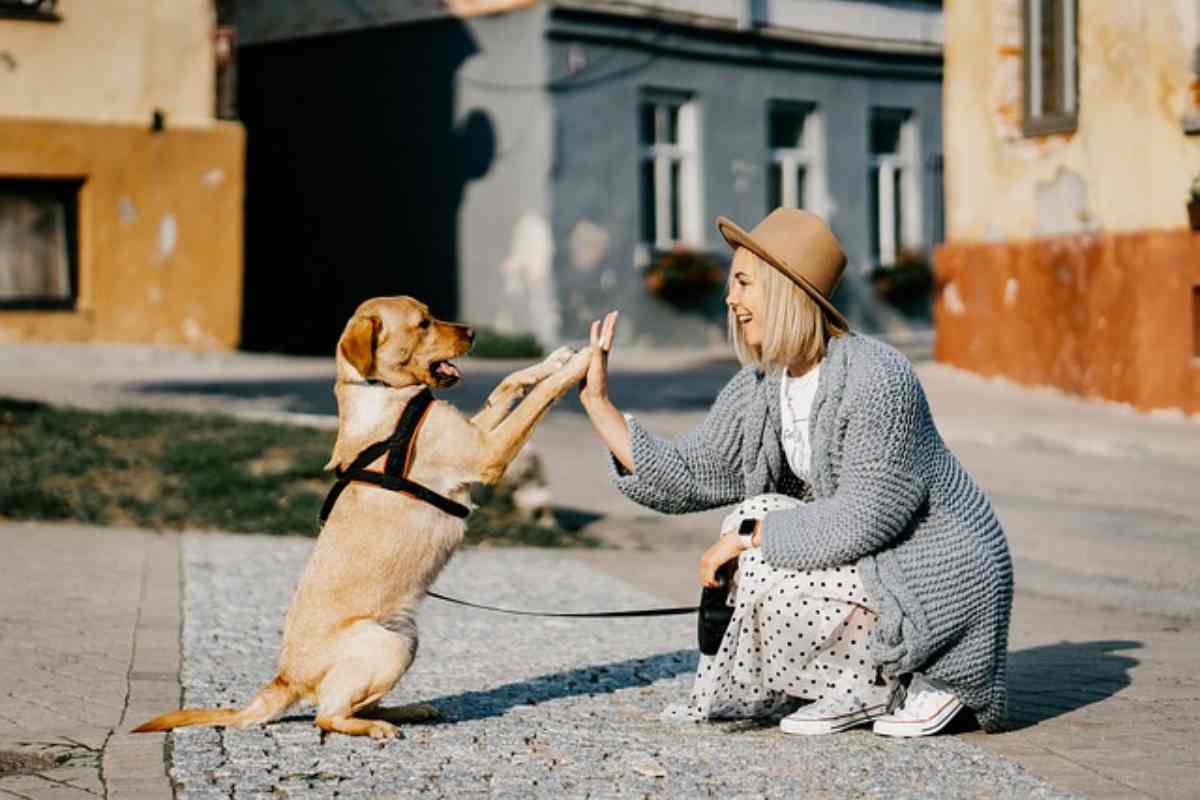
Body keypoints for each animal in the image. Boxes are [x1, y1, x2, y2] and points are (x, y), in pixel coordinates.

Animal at [133, 293, 592, 738]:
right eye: (423, 323)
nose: (474, 333)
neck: (383, 392)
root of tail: (285, 679)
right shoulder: (486, 452)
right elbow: (538, 398)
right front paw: (583, 363)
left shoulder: (476, 434)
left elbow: (508, 383)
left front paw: (555, 359)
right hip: (386, 645)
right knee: (327, 715)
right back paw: (375, 727)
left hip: (406, 638)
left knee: (354, 703)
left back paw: (407, 711)